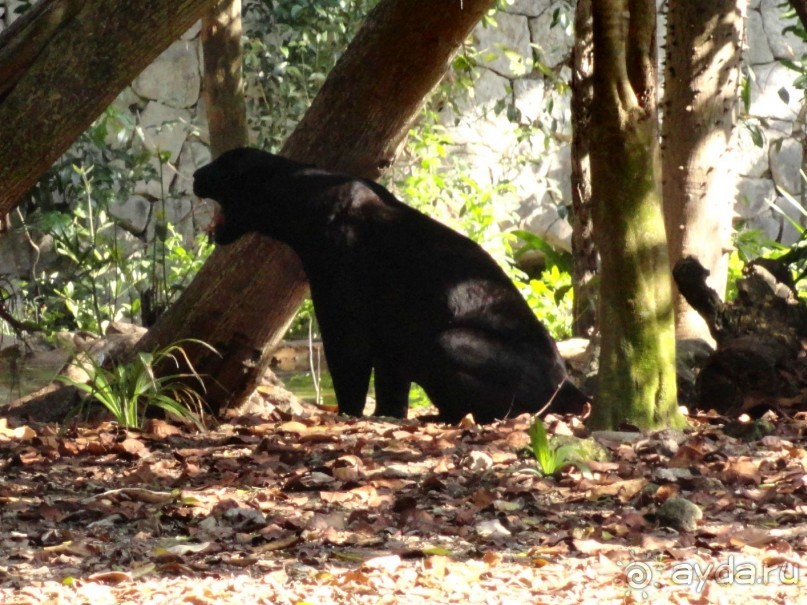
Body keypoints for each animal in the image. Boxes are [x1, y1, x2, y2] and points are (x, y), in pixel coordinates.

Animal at [194, 146, 588, 422]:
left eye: (221, 166)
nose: (196, 174)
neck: (305, 203)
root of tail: (568, 384)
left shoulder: (342, 317)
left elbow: (349, 372)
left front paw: (349, 415)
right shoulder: (392, 334)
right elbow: (391, 387)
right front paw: (387, 416)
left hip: (447, 341)